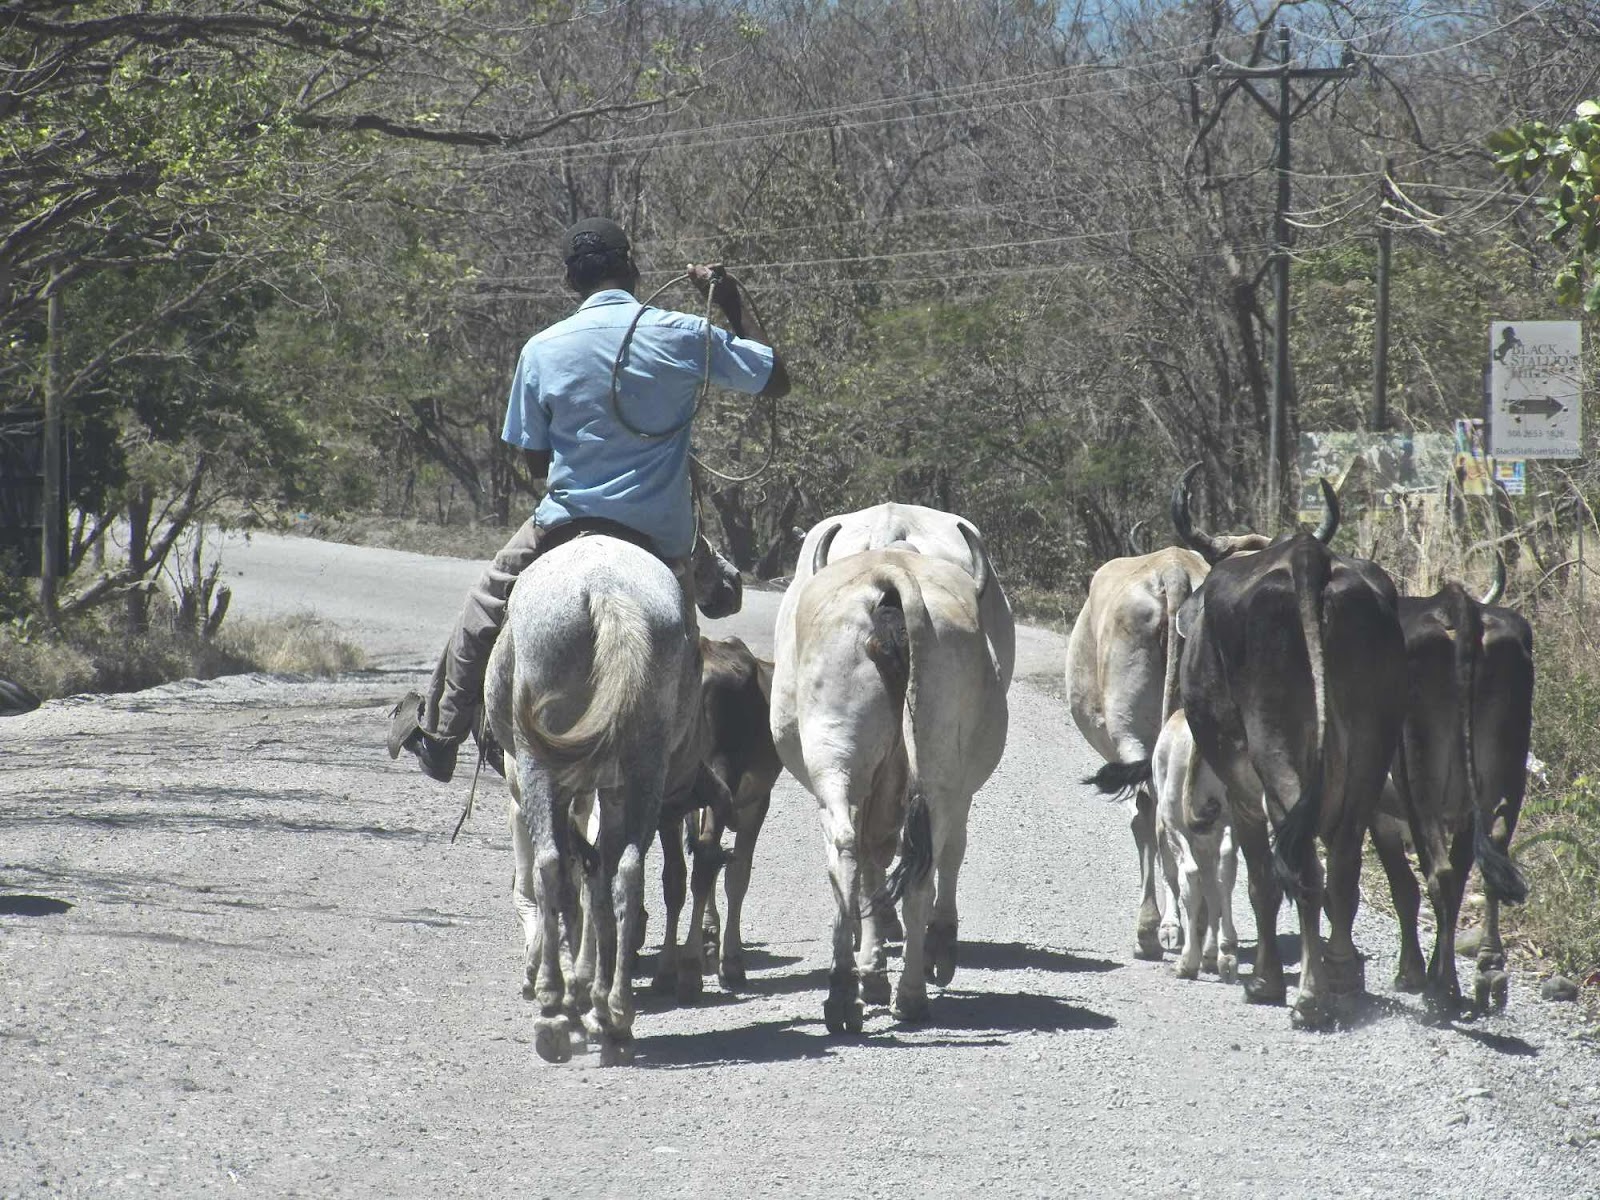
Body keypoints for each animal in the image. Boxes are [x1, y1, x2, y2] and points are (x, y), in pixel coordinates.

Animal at [473, 531, 726, 1068]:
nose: (731, 586)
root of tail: (608, 595)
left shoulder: (531, 787)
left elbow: (561, 882)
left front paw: (565, 989)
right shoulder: (604, 790)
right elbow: (595, 880)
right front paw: (589, 996)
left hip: (537, 764)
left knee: (552, 867)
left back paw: (557, 1011)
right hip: (642, 772)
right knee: (624, 872)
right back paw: (612, 1017)